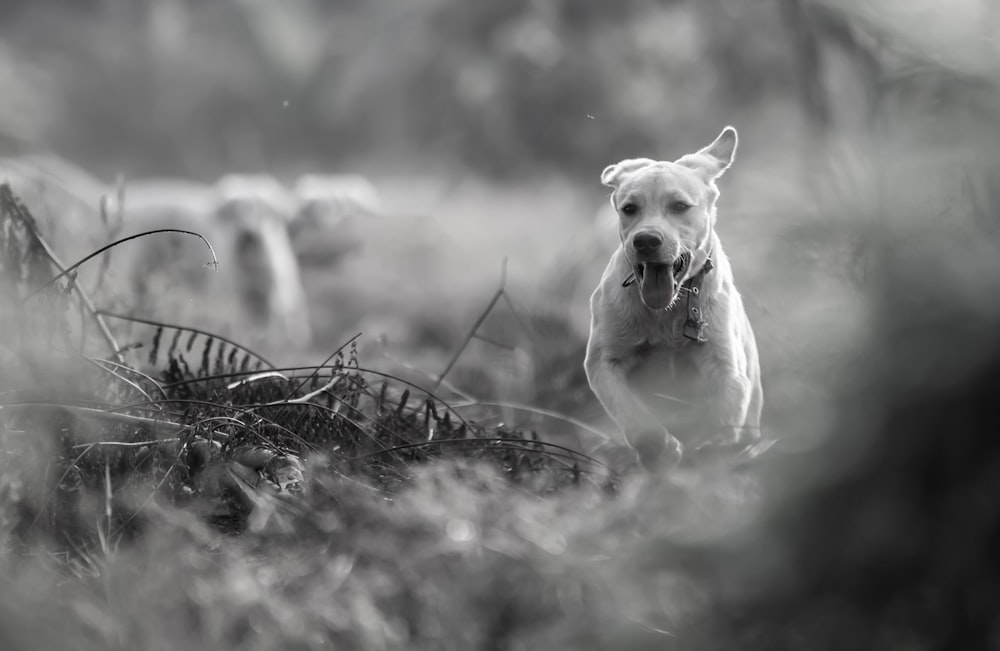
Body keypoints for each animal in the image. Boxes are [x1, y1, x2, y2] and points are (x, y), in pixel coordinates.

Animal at [584, 126, 760, 468]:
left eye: (679, 206)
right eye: (629, 209)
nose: (646, 240)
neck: (667, 311)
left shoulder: (728, 370)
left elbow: (724, 418)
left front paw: (711, 448)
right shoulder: (603, 363)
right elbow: (638, 422)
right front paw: (664, 448)